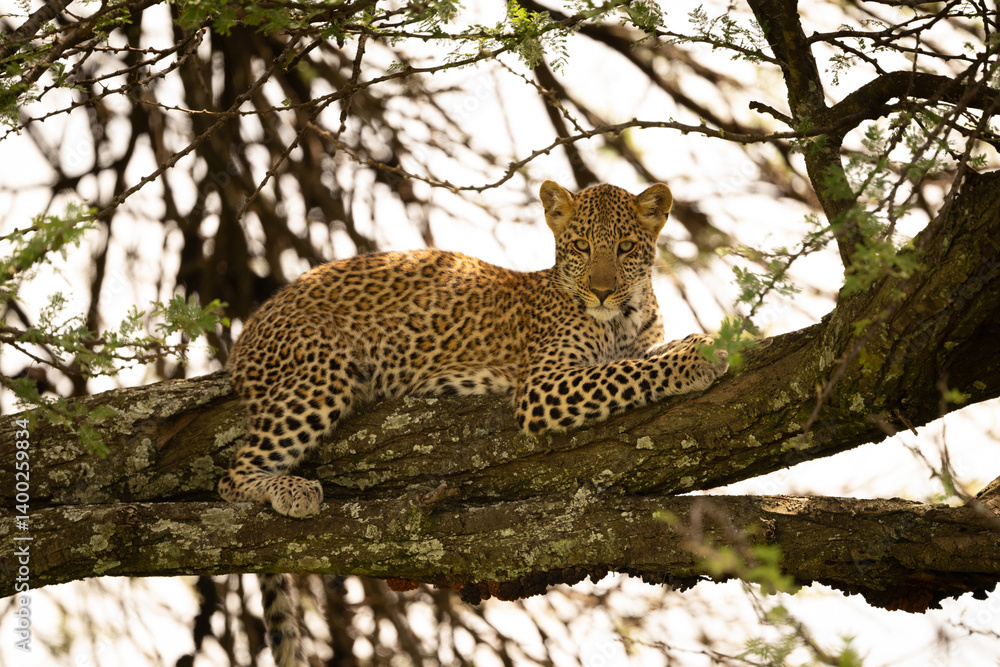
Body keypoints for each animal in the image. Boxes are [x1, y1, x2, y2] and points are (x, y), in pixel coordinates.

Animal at [219, 180, 729, 667]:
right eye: (581, 246)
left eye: (625, 248)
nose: (602, 291)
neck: (625, 318)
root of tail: (244, 337)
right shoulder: (542, 385)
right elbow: (626, 372)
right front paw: (698, 361)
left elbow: (642, 357)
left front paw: (701, 340)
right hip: (321, 372)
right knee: (233, 476)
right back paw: (292, 490)